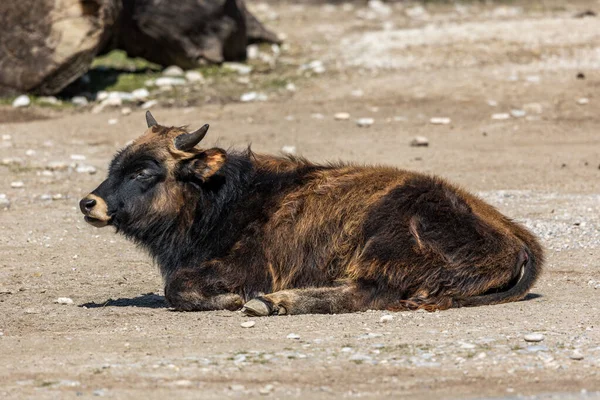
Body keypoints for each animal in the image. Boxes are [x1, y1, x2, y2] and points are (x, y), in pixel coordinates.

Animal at [79, 111, 544, 316]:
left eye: (144, 170)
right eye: (114, 165)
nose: (89, 203)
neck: (222, 196)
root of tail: (518, 240)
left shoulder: (246, 266)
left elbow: (176, 287)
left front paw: (232, 300)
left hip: (382, 243)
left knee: (364, 294)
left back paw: (272, 303)